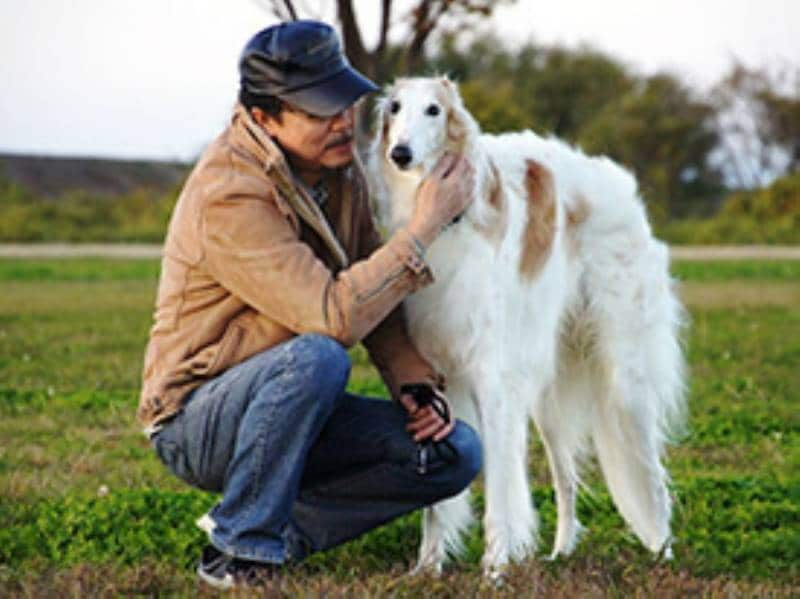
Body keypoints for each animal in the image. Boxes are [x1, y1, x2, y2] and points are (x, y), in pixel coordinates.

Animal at [368, 77, 688, 580]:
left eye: (434, 110)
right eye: (395, 108)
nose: (400, 153)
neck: (447, 222)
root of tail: (622, 188)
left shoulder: (493, 378)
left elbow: (500, 489)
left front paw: (495, 568)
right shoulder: (438, 376)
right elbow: (437, 503)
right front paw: (427, 568)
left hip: (625, 380)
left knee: (651, 473)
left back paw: (663, 553)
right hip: (548, 395)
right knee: (567, 479)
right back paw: (560, 552)